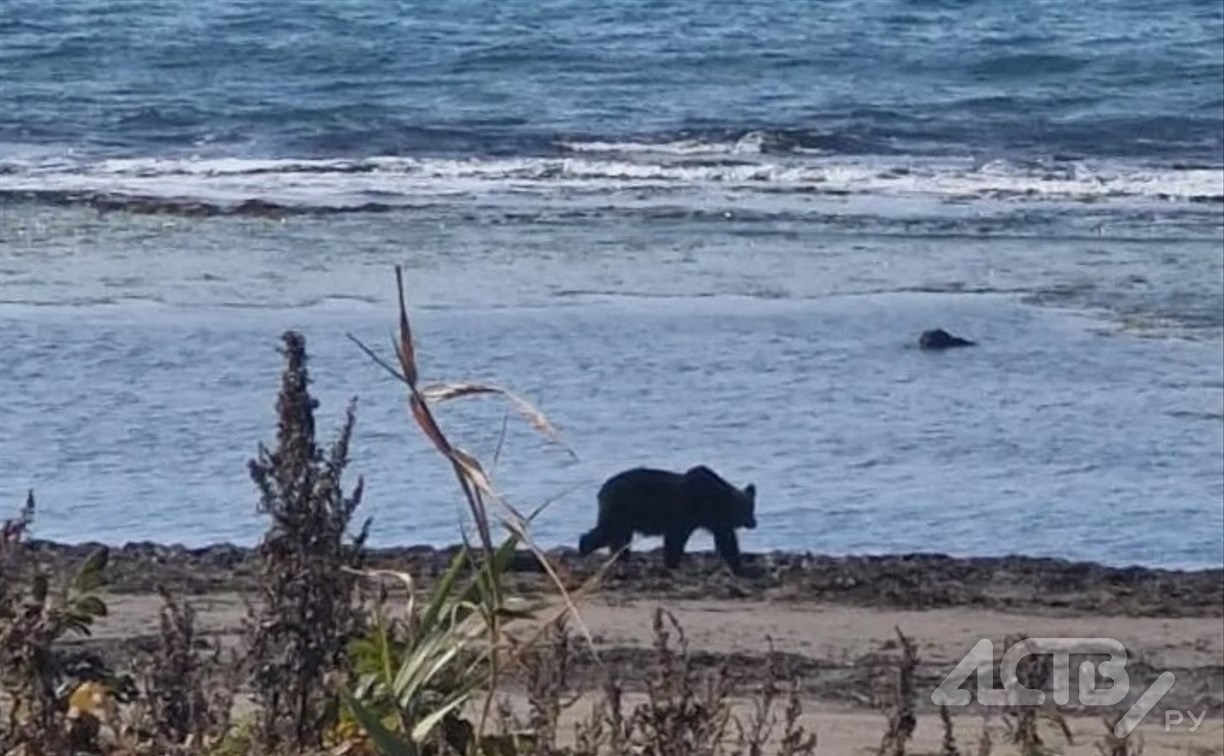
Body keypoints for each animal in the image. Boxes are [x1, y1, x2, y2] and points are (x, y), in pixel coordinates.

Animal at [577, 465, 757, 575]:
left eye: (752, 506)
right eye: (748, 509)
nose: (754, 523)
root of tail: (601, 490)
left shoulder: (717, 522)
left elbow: (727, 542)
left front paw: (739, 567)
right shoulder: (684, 515)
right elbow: (675, 539)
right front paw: (672, 563)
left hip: (625, 515)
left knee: (618, 537)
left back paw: (620, 558)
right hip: (620, 508)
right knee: (608, 531)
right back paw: (584, 548)